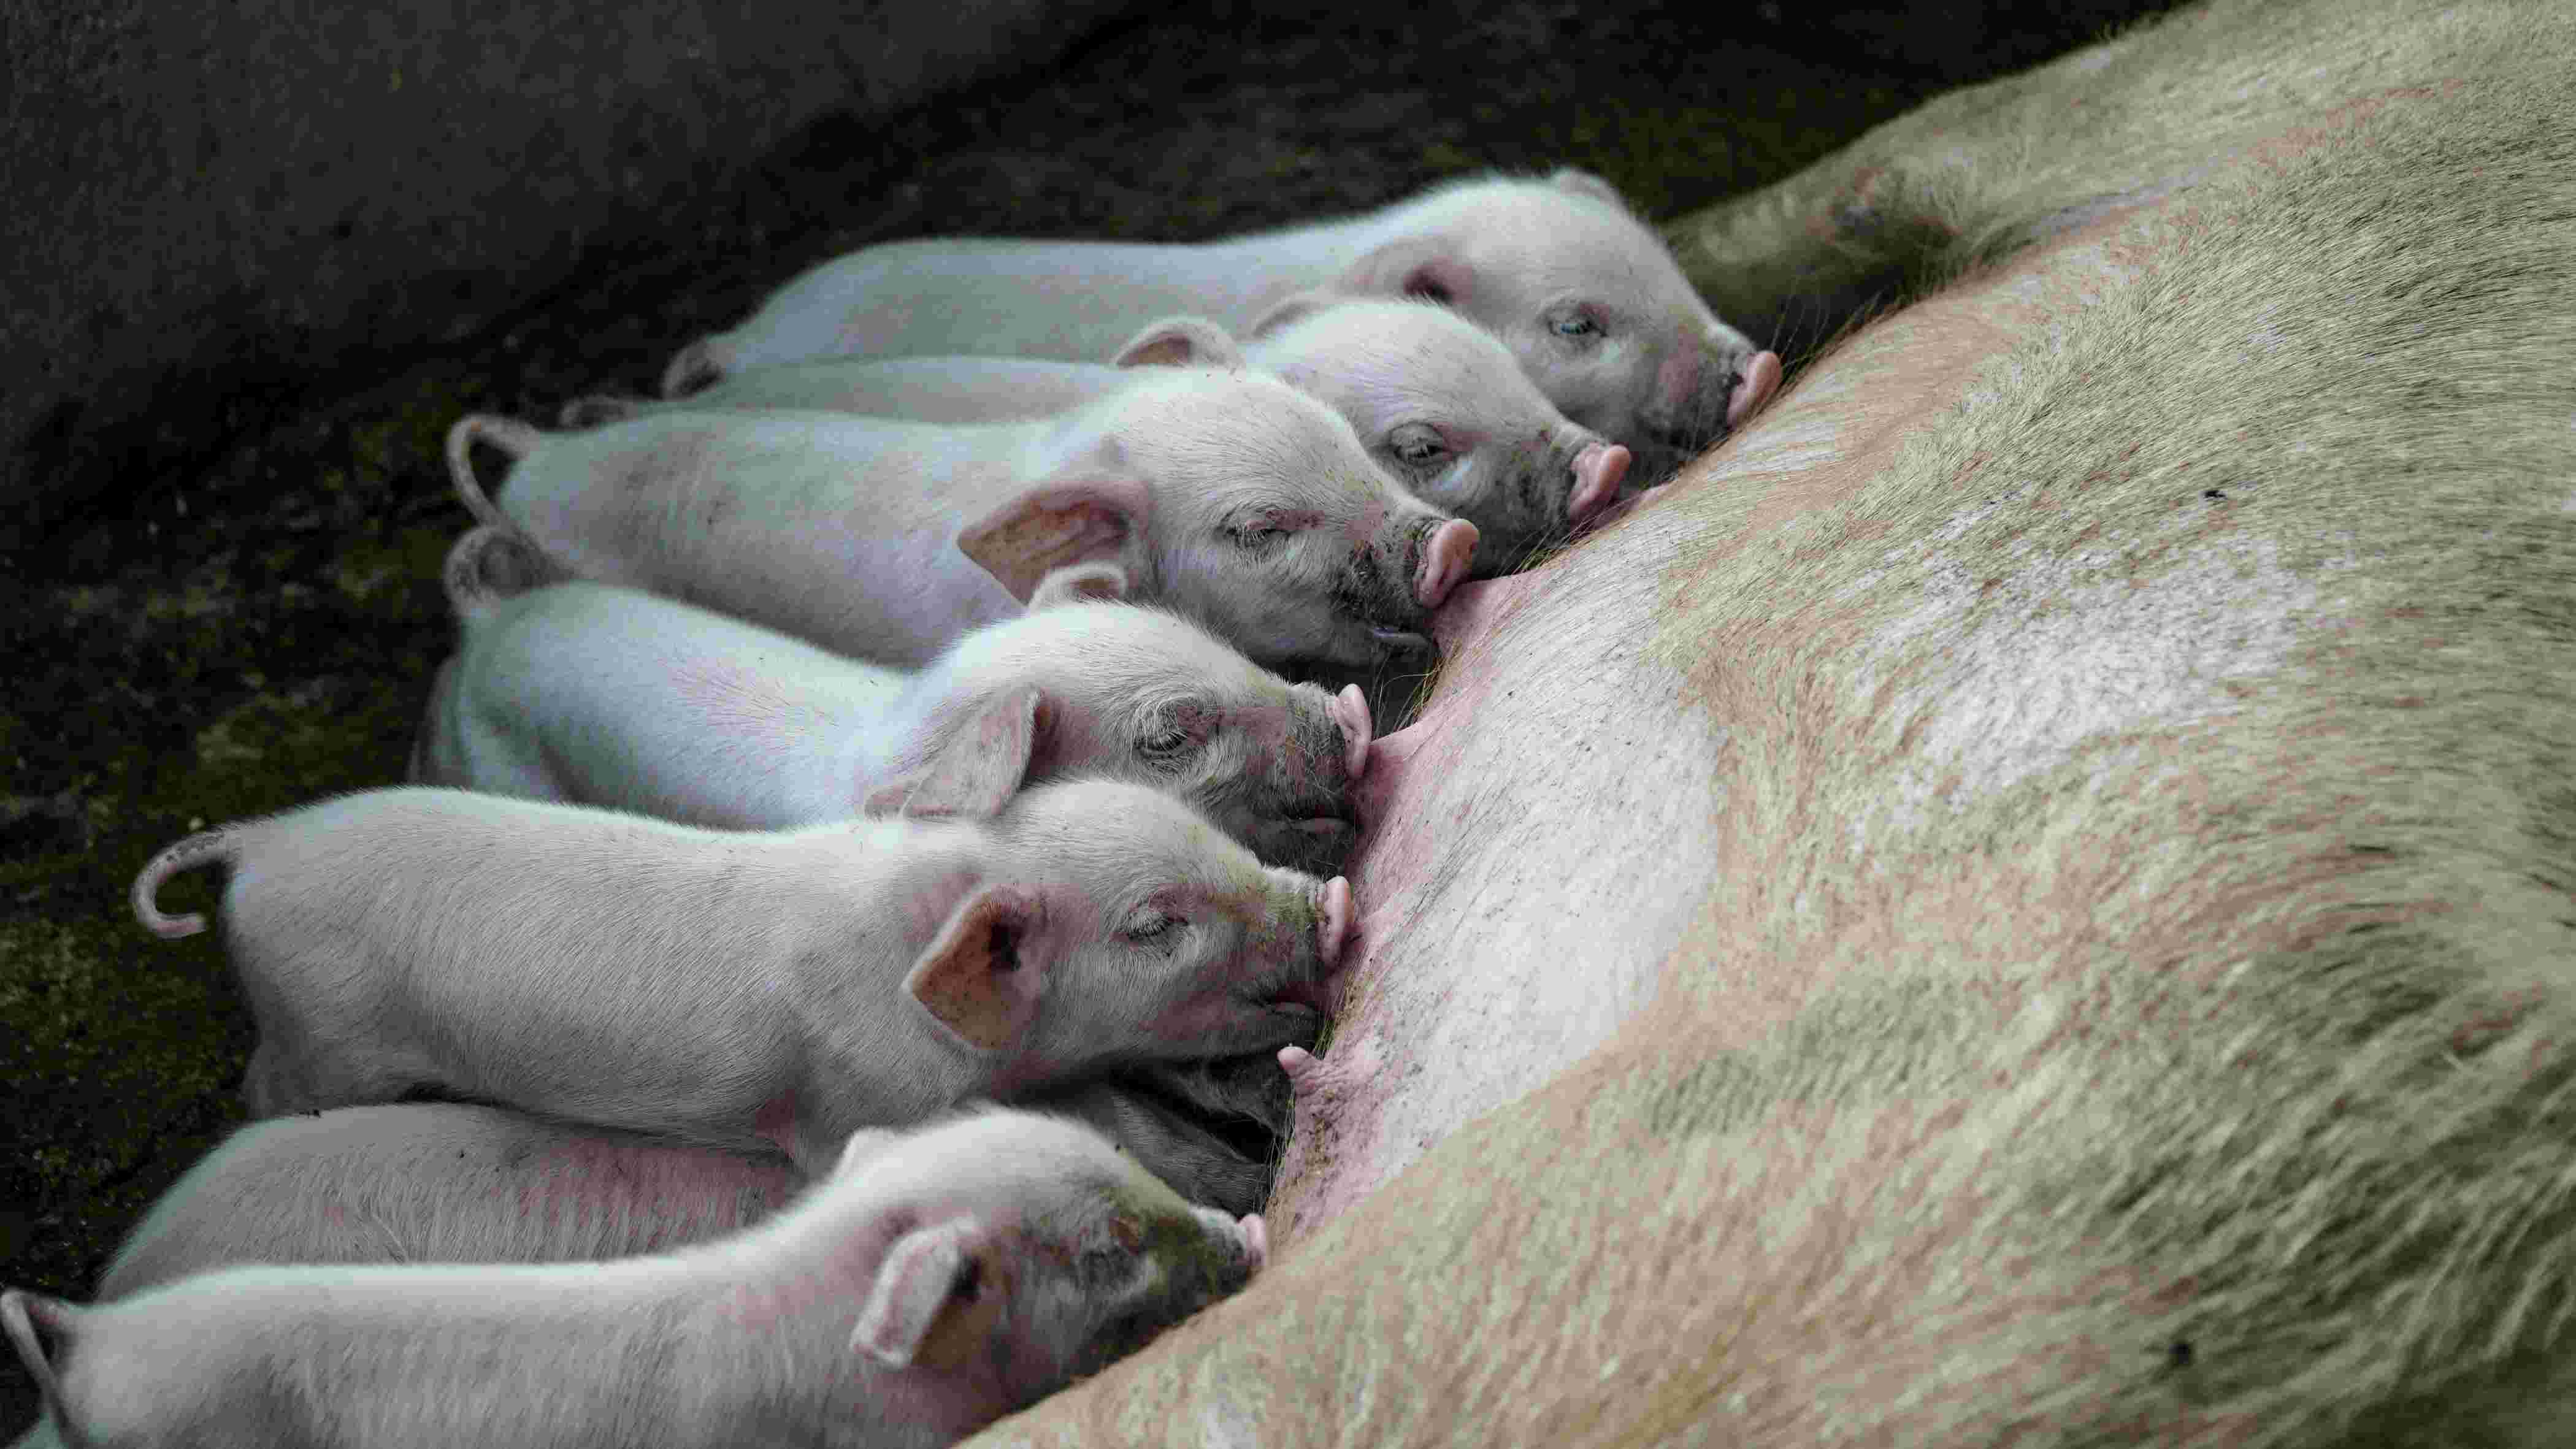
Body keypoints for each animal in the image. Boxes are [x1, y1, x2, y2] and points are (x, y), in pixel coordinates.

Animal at [128, 778, 1353, 1171]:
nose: (1330, 899)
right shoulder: (843, 1099)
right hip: (323, 1031)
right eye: (1155, 925)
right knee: (263, 1091)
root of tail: (259, 843)